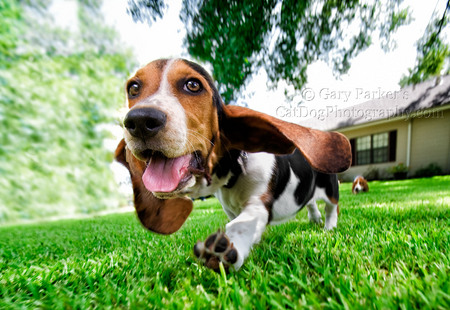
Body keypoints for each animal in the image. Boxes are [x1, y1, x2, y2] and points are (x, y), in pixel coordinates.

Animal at [114, 58, 354, 272]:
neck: (235, 173)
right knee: (311, 203)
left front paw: (223, 250)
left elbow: (241, 225)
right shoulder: (230, 209)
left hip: (331, 188)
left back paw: (328, 227)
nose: (139, 121)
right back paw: (315, 219)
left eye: (193, 85)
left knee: (332, 207)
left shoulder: (258, 204)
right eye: (133, 88)